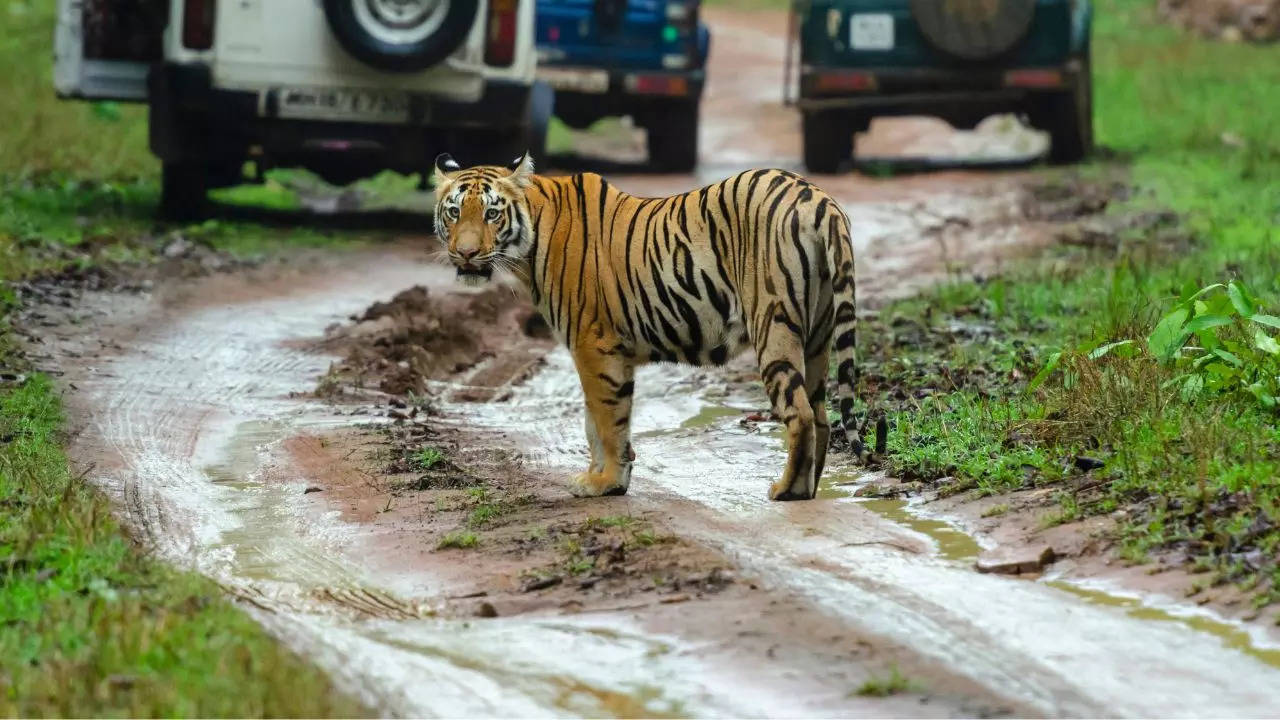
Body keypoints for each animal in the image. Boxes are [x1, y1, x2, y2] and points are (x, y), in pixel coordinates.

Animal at [432, 151, 870, 499]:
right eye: (454, 212)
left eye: (492, 213)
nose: (465, 254)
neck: (531, 242)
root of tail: (818, 198)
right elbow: (596, 422)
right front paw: (603, 477)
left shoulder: (593, 345)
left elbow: (606, 420)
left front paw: (605, 482)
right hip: (817, 336)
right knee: (821, 414)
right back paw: (809, 487)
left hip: (774, 324)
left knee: (800, 412)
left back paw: (786, 490)